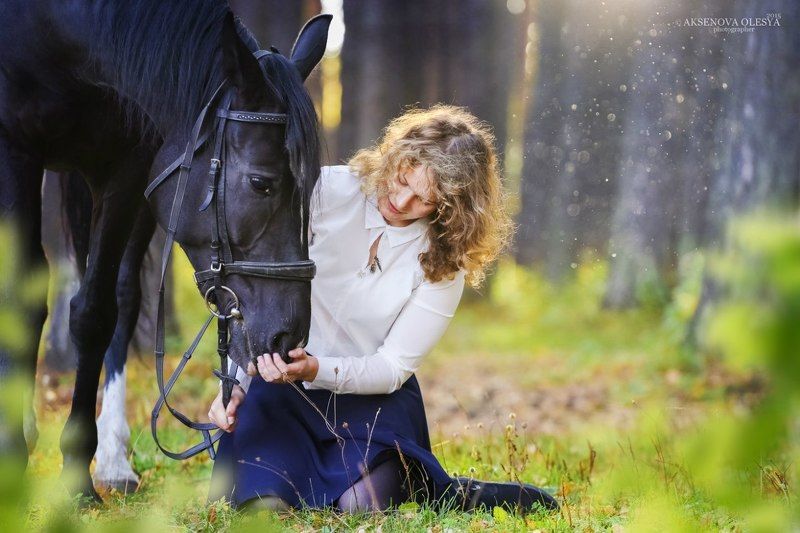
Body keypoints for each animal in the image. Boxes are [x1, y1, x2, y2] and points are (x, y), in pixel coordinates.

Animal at [0, 0, 331, 502]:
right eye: (261, 183)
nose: (288, 337)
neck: (57, 26)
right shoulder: (15, 150)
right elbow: (20, 301)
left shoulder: (129, 162)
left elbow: (95, 313)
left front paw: (78, 474)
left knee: (121, 296)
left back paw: (112, 461)